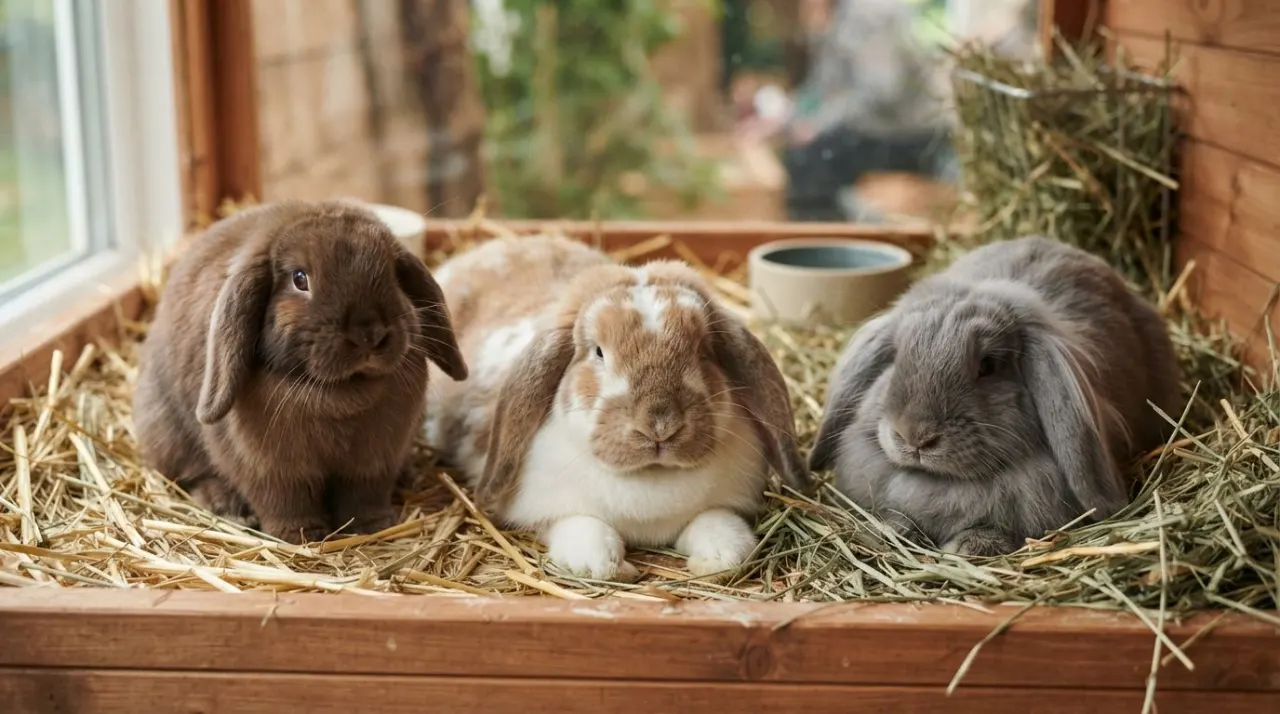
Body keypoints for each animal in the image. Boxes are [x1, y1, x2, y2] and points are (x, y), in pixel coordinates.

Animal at [132, 200, 468, 544]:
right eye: (299, 279)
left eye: (392, 273)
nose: (369, 333)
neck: (341, 393)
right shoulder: (272, 471)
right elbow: (285, 502)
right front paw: (301, 535)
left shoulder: (374, 464)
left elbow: (364, 497)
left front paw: (373, 526)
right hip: (169, 436)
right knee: (193, 474)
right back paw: (224, 503)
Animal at [426, 234, 810, 581]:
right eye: (598, 352)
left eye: (703, 350)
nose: (660, 425)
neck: (650, 479)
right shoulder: (554, 514)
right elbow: (591, 544)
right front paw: (615, 568)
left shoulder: (725, 506)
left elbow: (724, 537)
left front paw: (711, 564)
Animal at [808, 235, 1181, 557]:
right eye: (897, 355)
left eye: (988, 365)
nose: (914, 437)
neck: (943, 483)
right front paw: (893, 531)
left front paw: (968, 547)